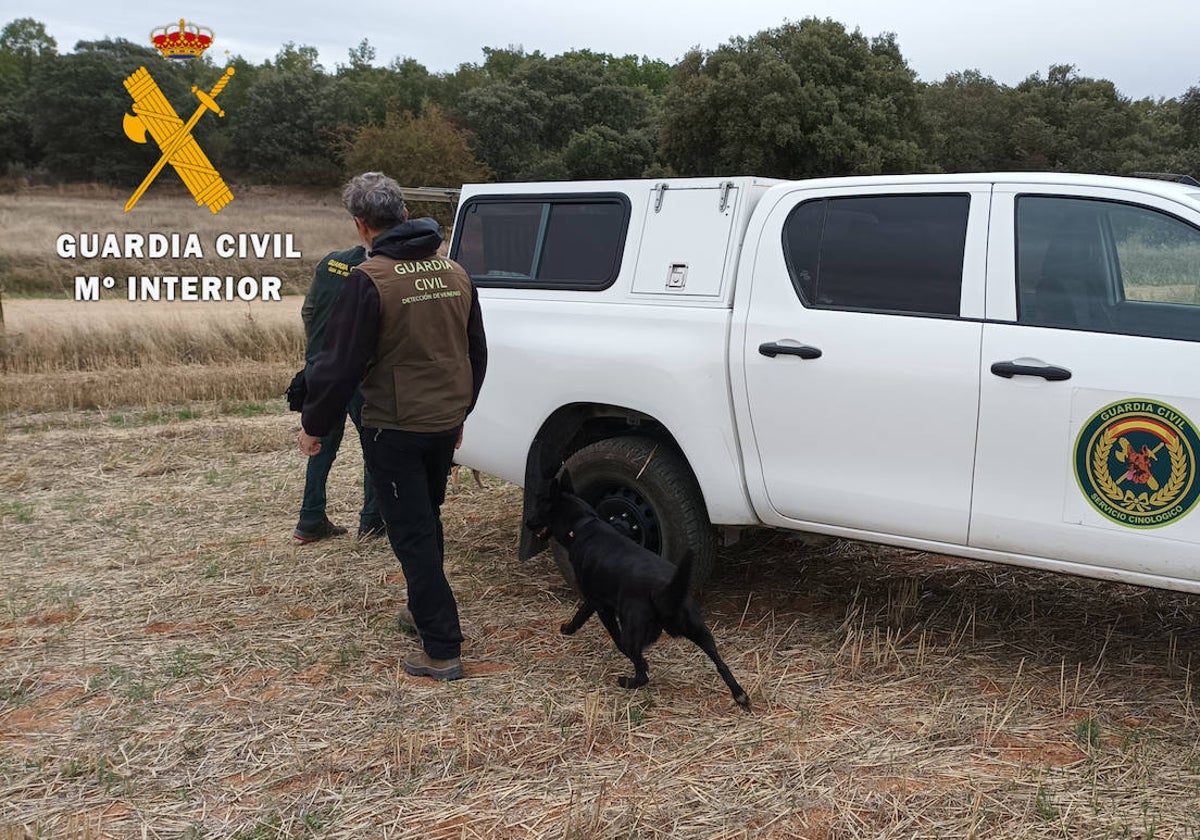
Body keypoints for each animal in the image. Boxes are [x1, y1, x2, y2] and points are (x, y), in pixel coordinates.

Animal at [528, 470, 748, 705]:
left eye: (539, 506)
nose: (528, 523)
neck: (583, 525)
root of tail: (665, 593)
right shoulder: (595, 601)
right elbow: (581, 615)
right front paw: (568, 629)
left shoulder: (602, 606)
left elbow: (610, 635)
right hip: (700, 631)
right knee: (721, 664)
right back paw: (740, 694)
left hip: (634, 630)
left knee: (641, 672)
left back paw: (627, 680)